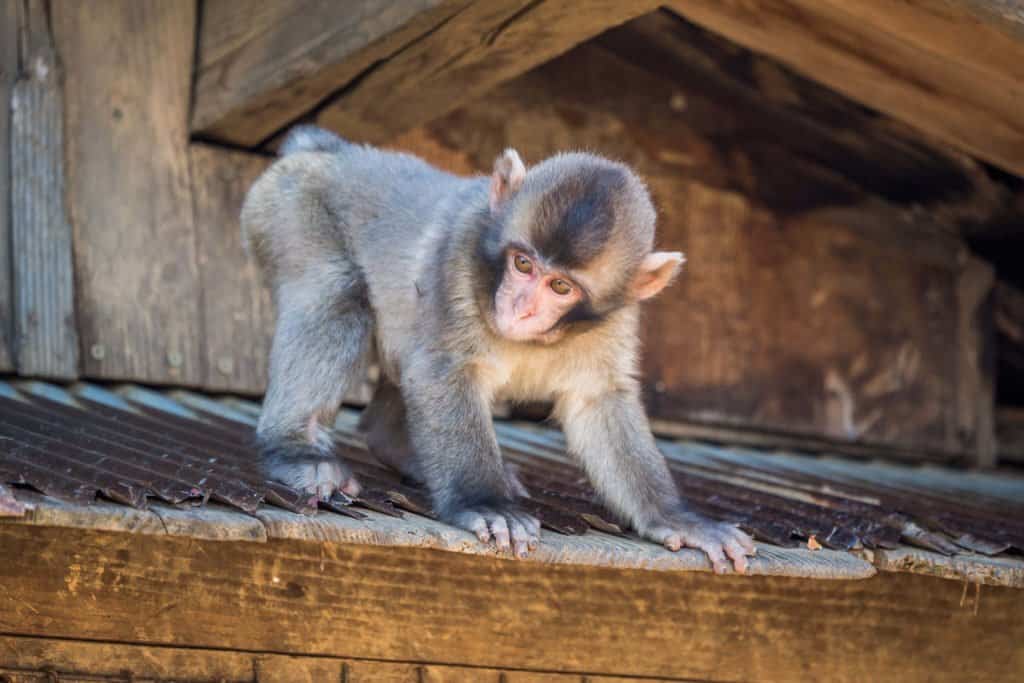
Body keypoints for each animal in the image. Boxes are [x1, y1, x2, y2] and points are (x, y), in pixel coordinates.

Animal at [239, 125, 753, 573]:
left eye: (560, 286)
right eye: (523, 264)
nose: (521, 307)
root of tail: (331, 149)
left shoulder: (613, 320)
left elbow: (599, 402)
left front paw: (676, 517)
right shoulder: (459, 257)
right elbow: (443, 372)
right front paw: (483, 502)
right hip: (290, 207)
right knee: (336, 291)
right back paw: (296, 449)